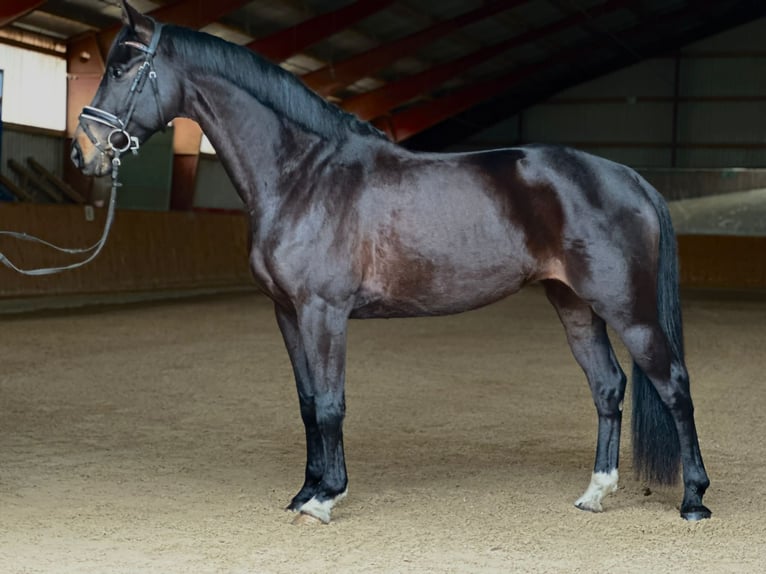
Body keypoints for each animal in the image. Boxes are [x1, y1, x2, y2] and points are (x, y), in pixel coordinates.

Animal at [72, 1, 712, 528]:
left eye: (124, 69)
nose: (84, 152)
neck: (302, 174)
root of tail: (628, 176)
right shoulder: (287, 313)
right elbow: (308, 404)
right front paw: (304, 491)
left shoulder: (324, 312)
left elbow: (331, 403)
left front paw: (327, 496)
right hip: (574, 303)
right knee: (607, 385)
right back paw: (596, 492)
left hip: (627, 308)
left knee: (674, 384)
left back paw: (694, 499)